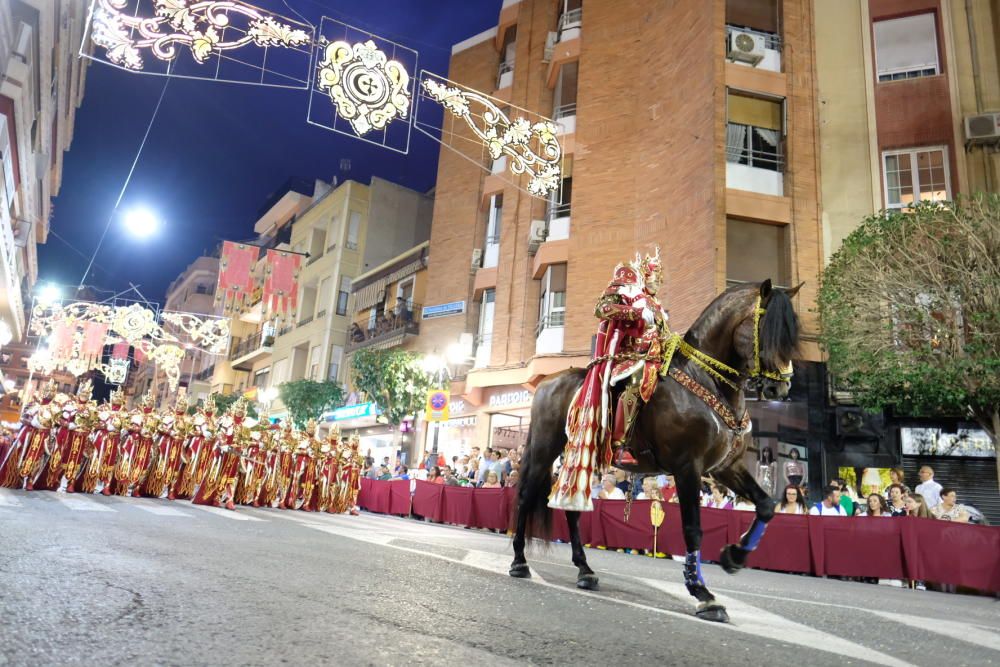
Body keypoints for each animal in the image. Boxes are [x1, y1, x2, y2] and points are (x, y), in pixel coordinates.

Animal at [512, 280, 800, 624]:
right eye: (767, 328)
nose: (780, 389)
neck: (708, 384)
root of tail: (547, 382)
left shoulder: (724, 467)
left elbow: (767, 505)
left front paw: (734, 556)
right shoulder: (688, 467)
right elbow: (693, 529)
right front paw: (702, 593)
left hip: (584, 455)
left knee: (572, 509)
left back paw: (585, 570)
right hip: (545, 449)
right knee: (526, 497)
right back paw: (519, 562)